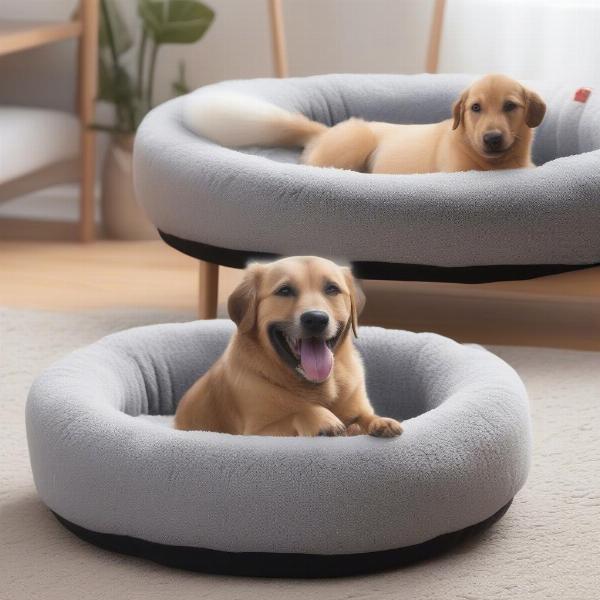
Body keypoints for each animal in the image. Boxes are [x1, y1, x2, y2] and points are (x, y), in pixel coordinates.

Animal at [176, 255, 406, 438]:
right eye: (284, 291)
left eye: (332, 289)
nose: (316, 319)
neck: (314, 385)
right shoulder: (257, 432)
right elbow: (299, 412)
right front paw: (323, 419)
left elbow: (365, 416)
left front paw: (381, 421)